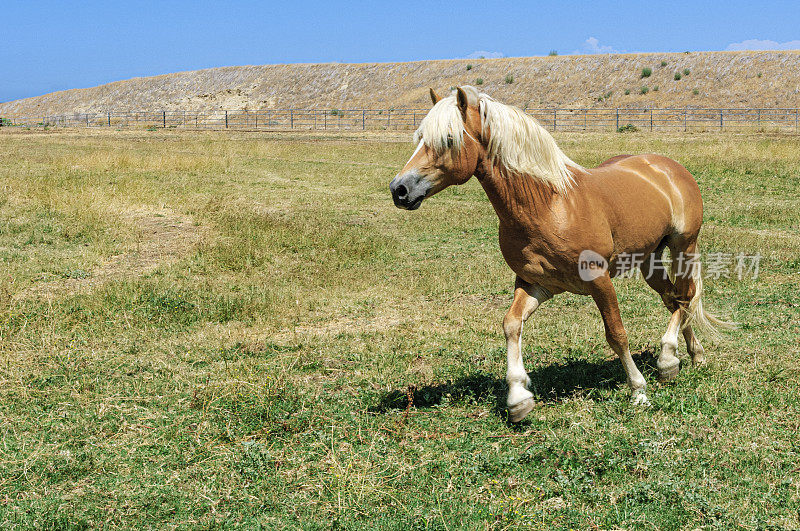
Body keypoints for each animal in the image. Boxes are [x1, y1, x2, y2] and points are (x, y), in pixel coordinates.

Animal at [390, 85, 732, 422]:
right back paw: (686, 357)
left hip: (683, 246)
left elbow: (616, 334)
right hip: (648, 259)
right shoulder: (536, 284)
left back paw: (668, 357)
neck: (549, 205)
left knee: (685, 298)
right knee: (675, 300)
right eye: (419, 137)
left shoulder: (599, 279)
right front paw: (518, 398)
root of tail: (668, 167)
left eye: (449, 139)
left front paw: (638, 391)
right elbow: (511, 324)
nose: (399, 190)